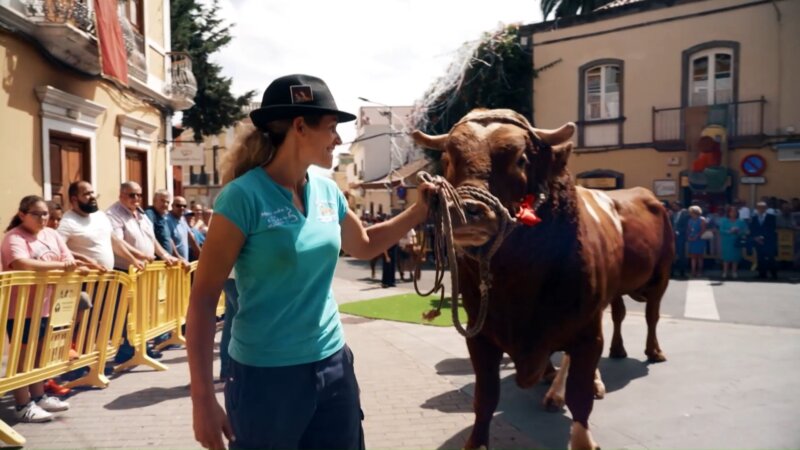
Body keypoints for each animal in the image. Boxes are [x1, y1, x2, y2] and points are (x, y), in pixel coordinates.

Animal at [410, 110, 672, 450]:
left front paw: (583, 438)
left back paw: (651, 353)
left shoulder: (585, 332)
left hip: (661, 276)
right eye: (448, 158)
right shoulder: (479, 334)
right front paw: (476, 442)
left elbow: (579, 396)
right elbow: (485, 397)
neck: (515, 284)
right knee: (617, 314)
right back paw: (607, 356)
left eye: (521, 159)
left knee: (651, 315)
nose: (465, 211)